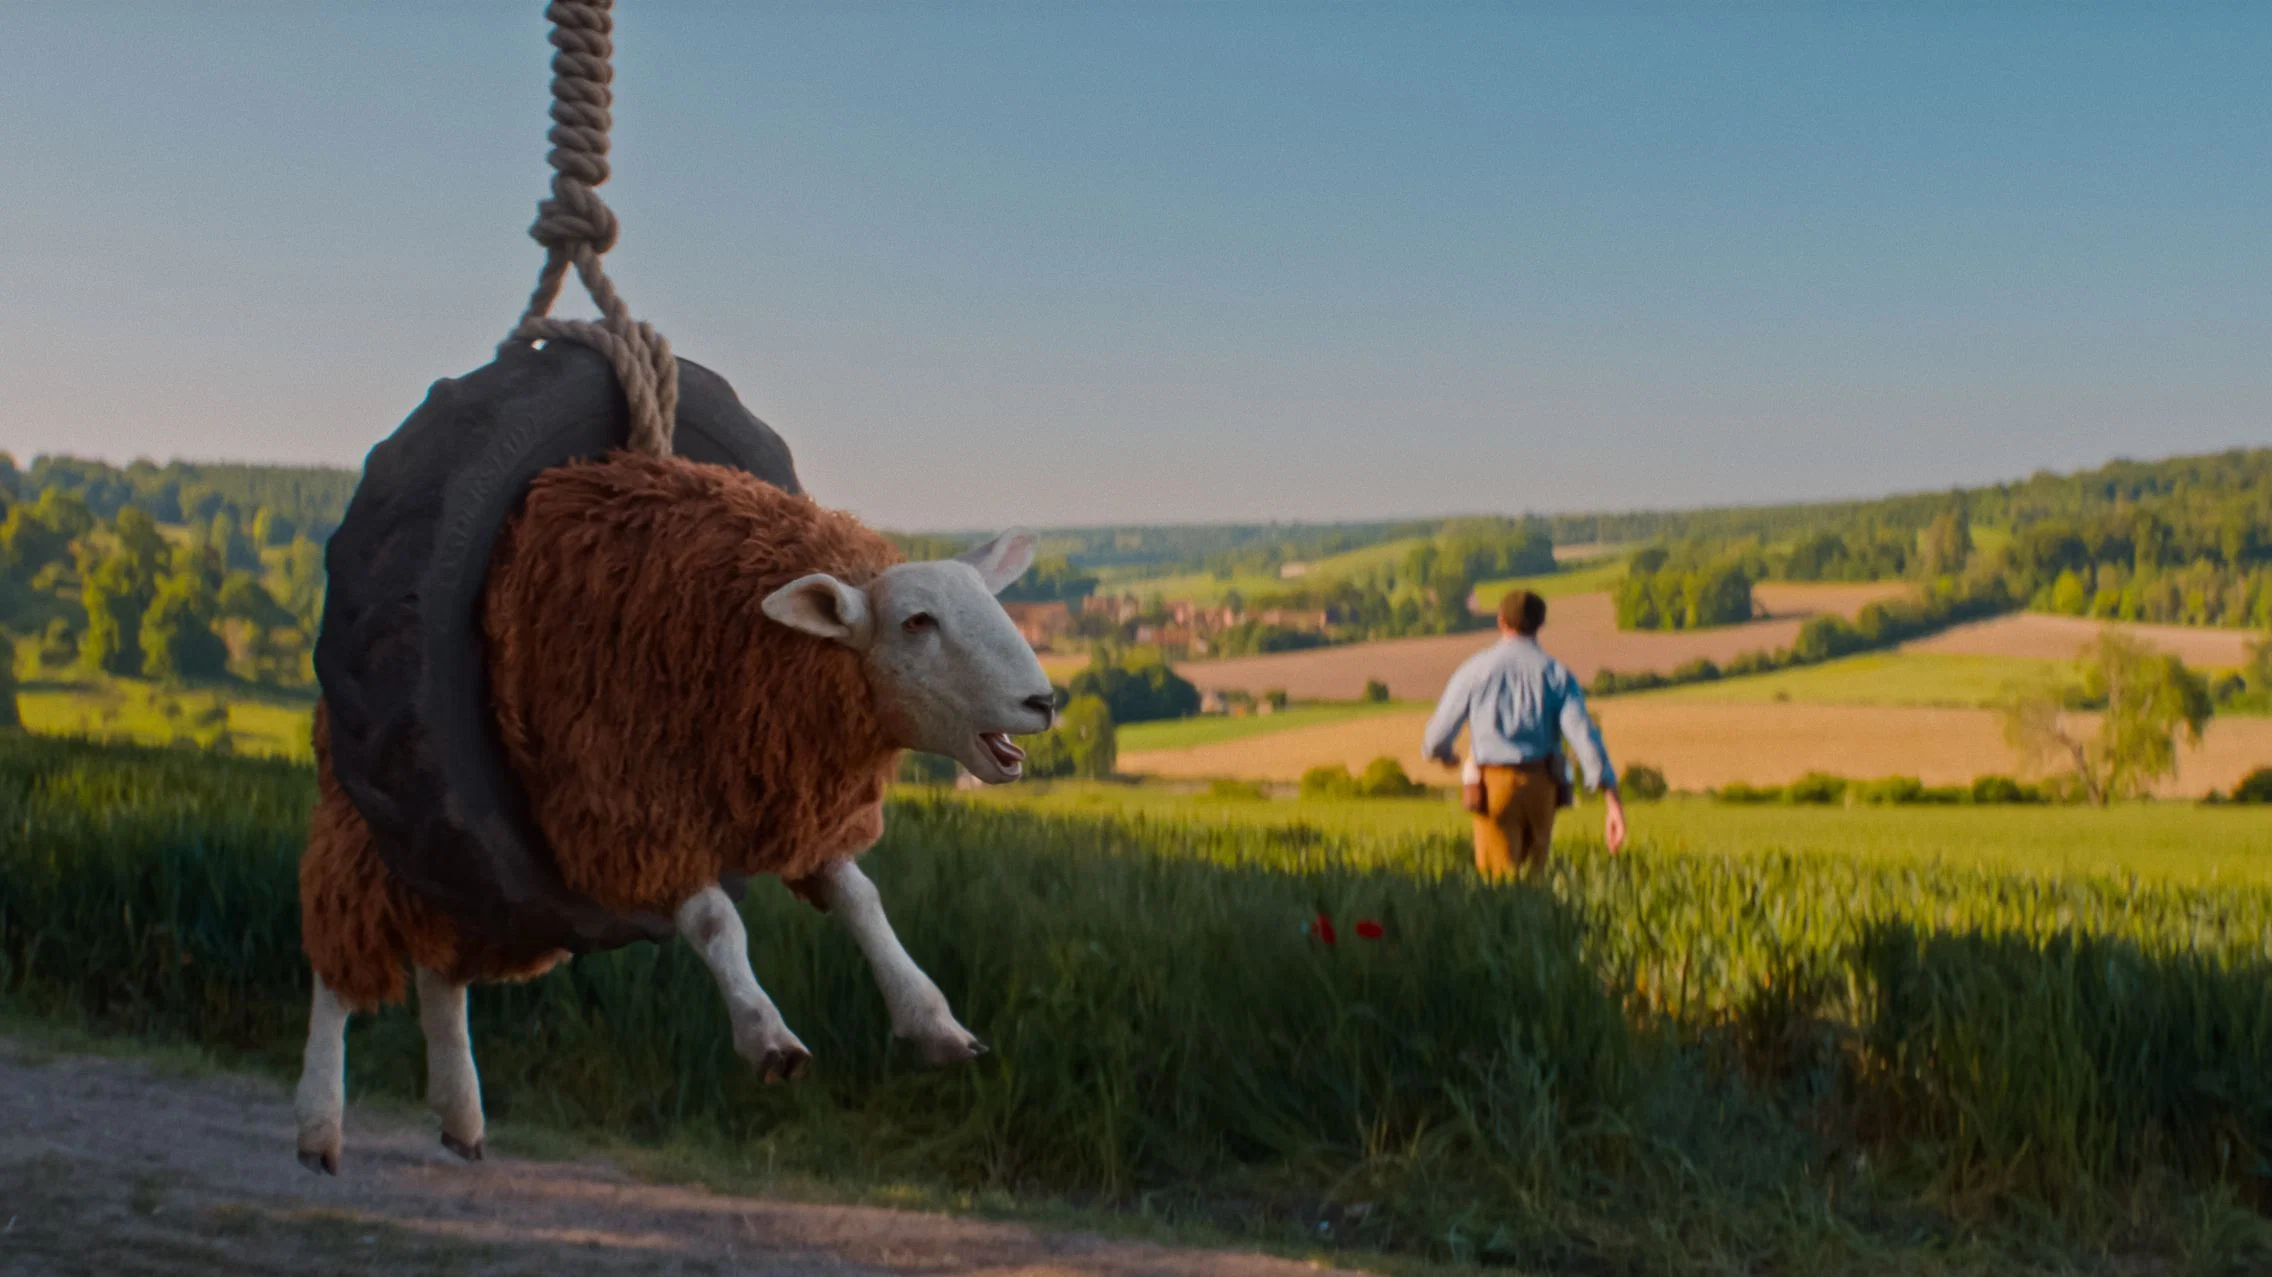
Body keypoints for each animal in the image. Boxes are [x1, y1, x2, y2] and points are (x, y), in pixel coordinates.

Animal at [293, 451, 1056, 1174]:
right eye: (917, 621)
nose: (1044, 701)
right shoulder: (637, 807)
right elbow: (719, 921)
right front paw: (767, 1035)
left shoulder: (793, 810)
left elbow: (864, 902)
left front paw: (934, 1022)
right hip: (377, 828)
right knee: (338, 960)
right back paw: (320, 1124)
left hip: (471, 873)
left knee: (440, 968)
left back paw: (460, 1114)